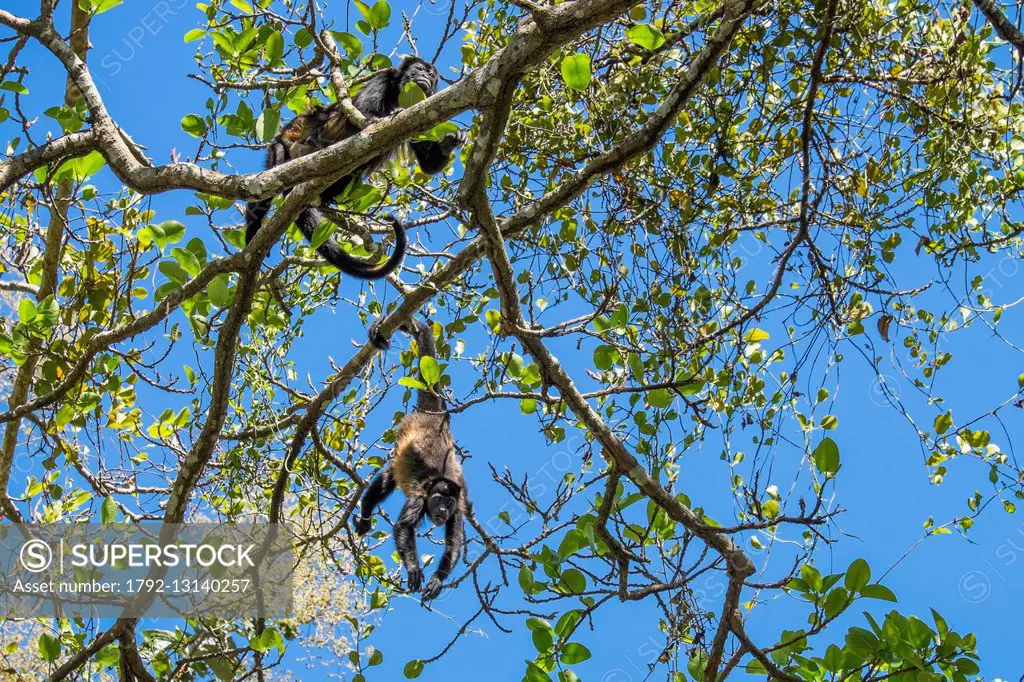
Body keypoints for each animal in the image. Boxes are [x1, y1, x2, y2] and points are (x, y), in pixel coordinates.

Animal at [243, 55, 468, 278]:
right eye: (420, 69)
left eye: (432, 75)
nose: (426, 77)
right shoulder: (383, 79)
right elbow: (361, 114)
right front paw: (391, 112)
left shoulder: (424, 104)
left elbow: (427, 163)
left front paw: (449, 142)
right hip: (280, 148)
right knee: (265, 187)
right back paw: (252, 234)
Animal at [352, 315, 464, 598]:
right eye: (438, 499)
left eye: (449, 503)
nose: (443, 510)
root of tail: (432, 416)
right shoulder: (420, 496)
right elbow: (404, 527)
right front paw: (414, 568)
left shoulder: (461, 505)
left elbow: (454, 543)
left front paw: (437, 579)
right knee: (387, 480)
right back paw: (366, 512)